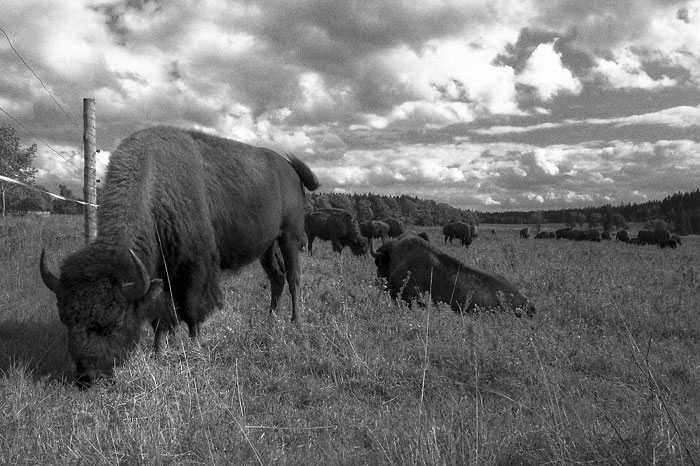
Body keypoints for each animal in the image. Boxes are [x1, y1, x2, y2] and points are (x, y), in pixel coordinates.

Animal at [40, 126, 319, 387]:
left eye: (115, 321)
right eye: (65, 319)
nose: (88, 378)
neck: (156, 183)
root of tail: (290, 169)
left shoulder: (194, 269)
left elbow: (190, 309)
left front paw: (194, 347)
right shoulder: (160, 273)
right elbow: (163, 315)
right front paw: (159, 350)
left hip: (290, 237)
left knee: (293, 277)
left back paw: (295, 323)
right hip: (267, 247)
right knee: (276, 278)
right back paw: (271, 319)